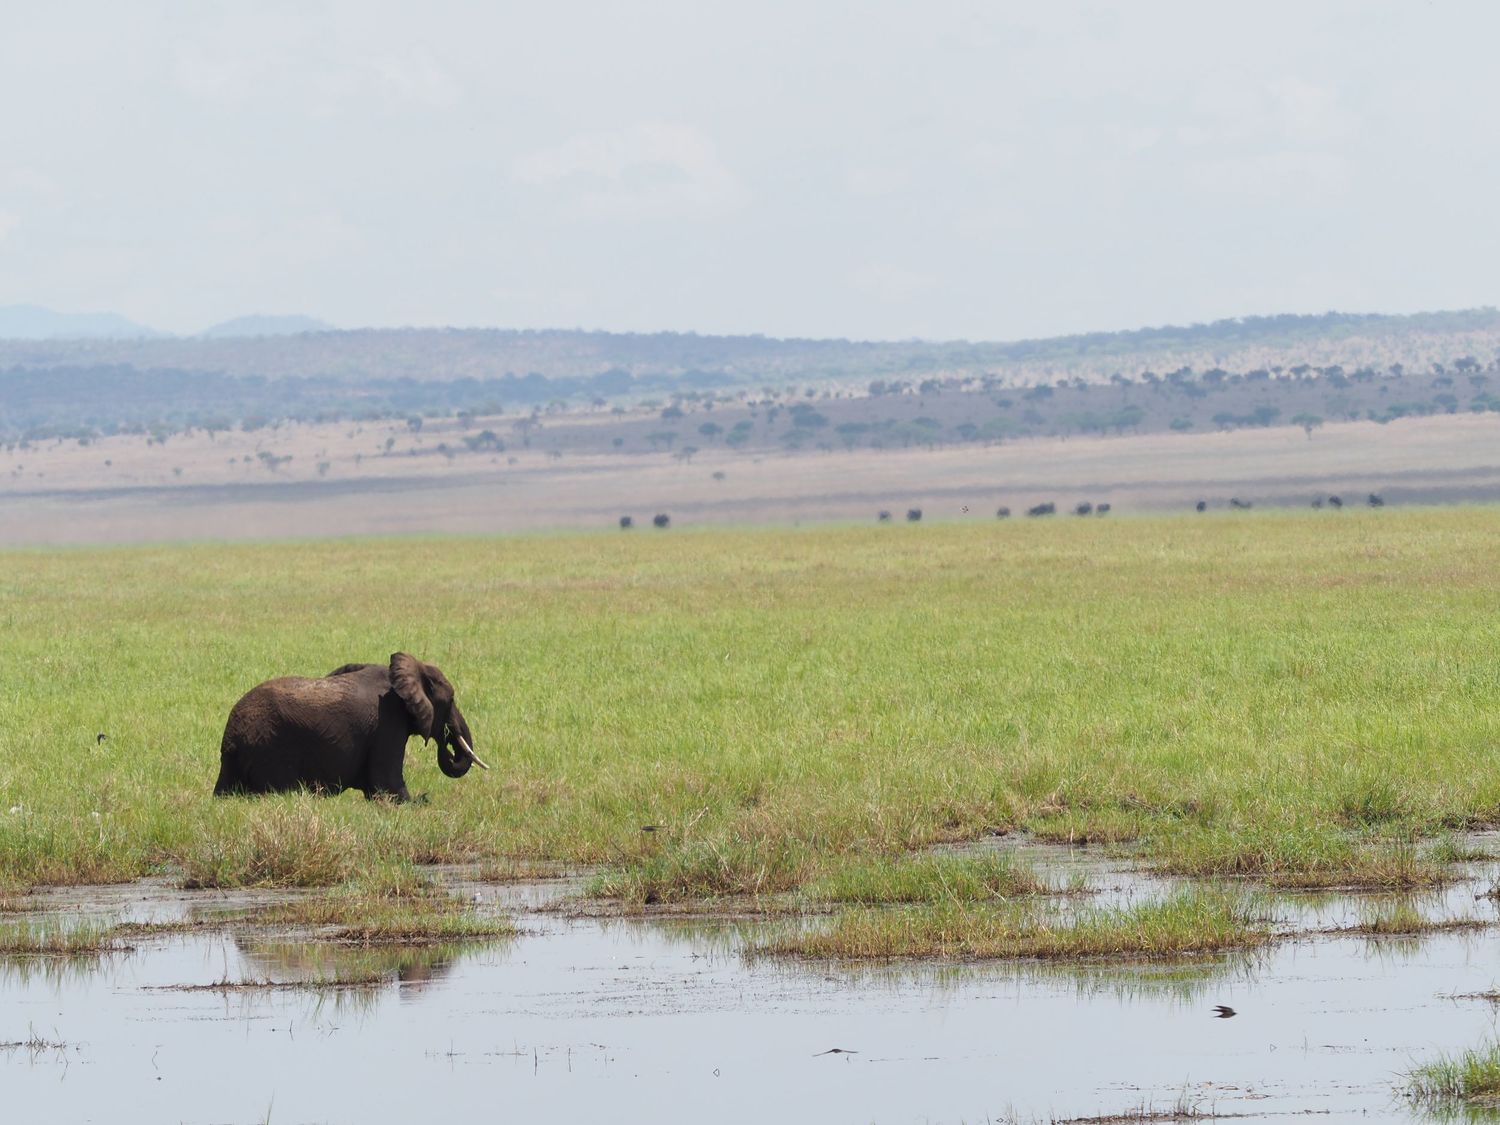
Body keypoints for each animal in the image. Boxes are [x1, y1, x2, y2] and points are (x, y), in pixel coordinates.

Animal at [213, 653, 487, 802]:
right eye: (450, 700)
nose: (448, 744)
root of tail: (230, 738)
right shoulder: (388, 722)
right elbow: (387, 785)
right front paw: (419, 802)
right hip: (270, 748)